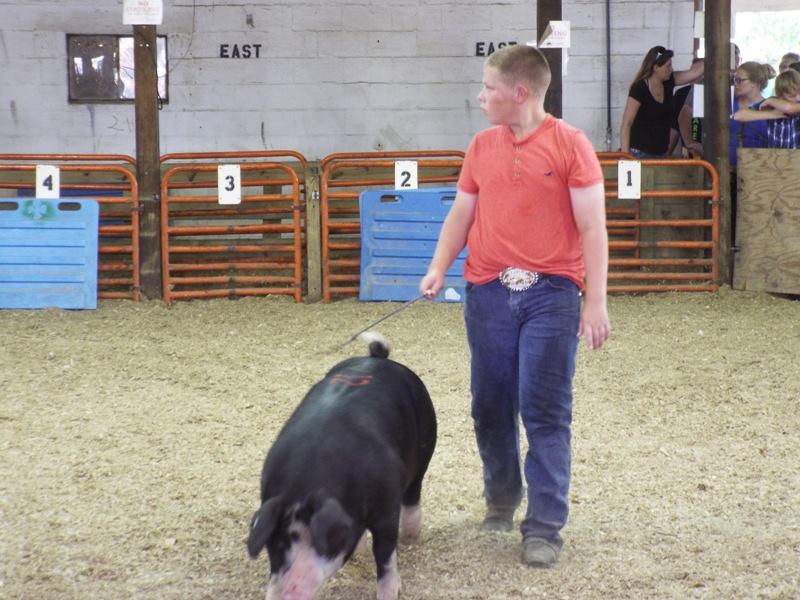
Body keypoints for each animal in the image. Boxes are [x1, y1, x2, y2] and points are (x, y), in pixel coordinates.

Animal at [247, 333, 437, 600]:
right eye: (277, 545)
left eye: (322, 541)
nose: (288, 592)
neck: (307, 482)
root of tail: (377, 357)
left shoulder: (387, 509)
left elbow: (386, 557)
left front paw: (389, 592)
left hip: (426, 445)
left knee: (413, 495)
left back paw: (411, 539)